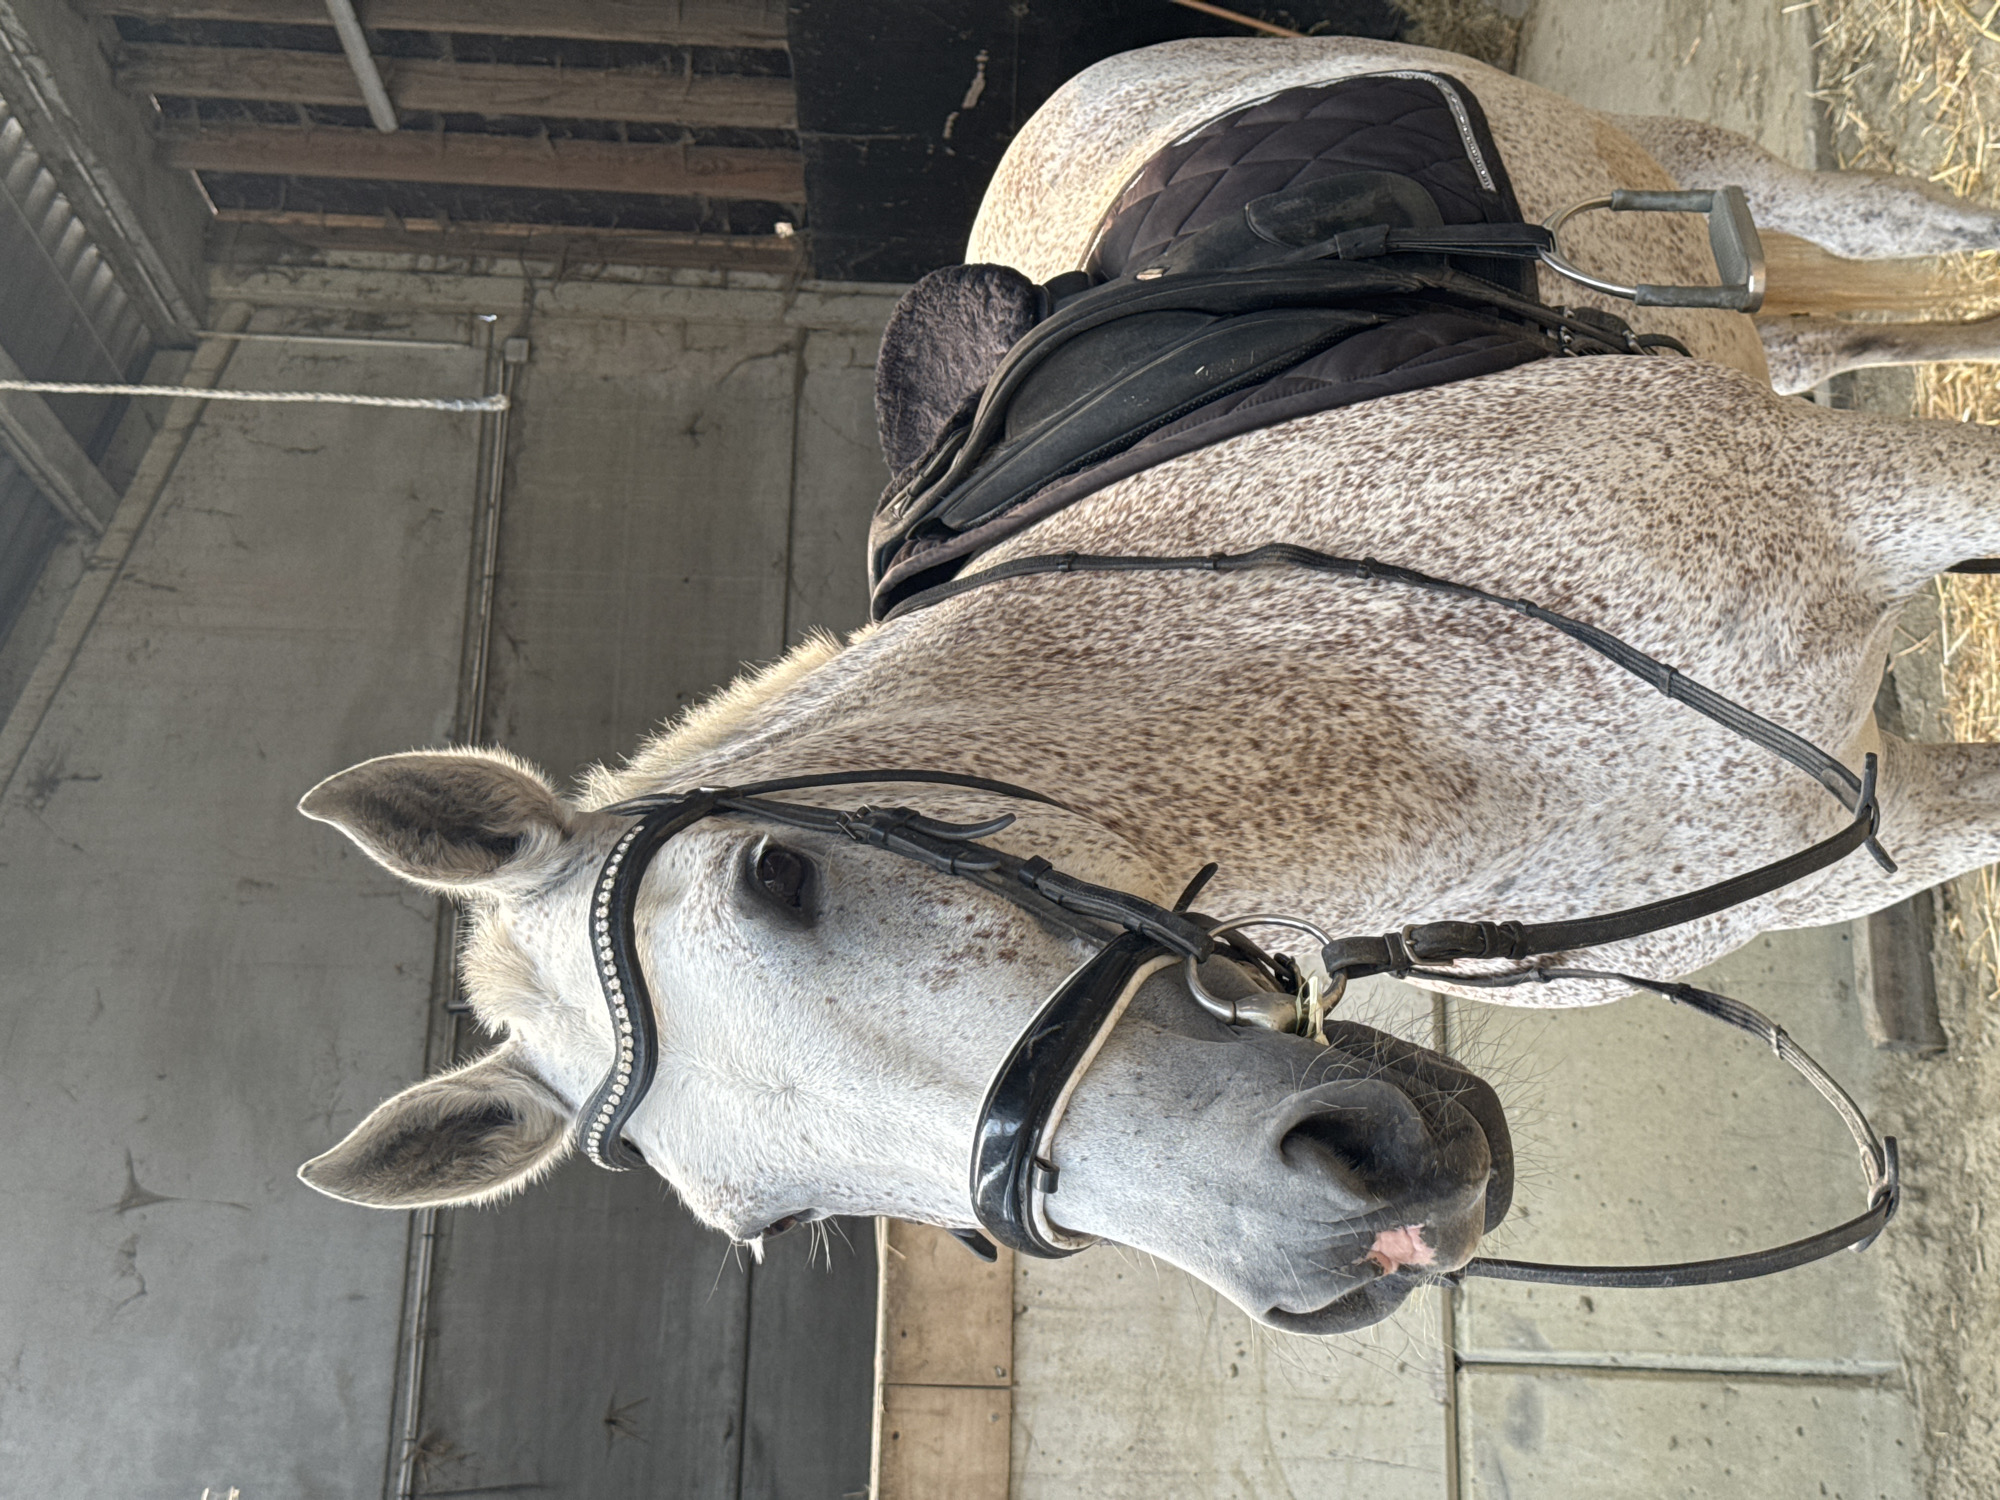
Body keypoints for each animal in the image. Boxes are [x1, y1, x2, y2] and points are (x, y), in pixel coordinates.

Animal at [289, 38, 2000, 1336]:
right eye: (777, 1216)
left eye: (777, 876)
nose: (1346, 1233)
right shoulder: (1886, 831)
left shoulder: (1894, 500)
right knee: (1831, 328)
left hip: (1696, 177)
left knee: (1884, 245)